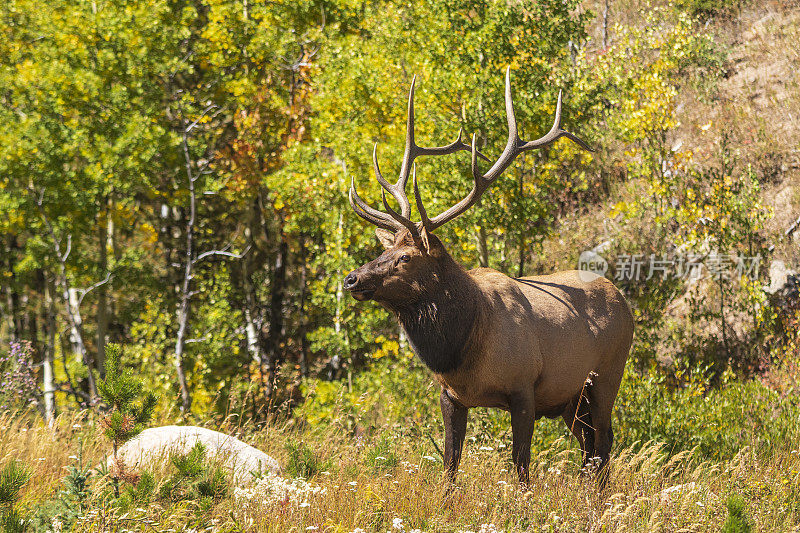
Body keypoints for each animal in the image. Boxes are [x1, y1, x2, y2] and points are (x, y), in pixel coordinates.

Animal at [344, 68, 632, 484]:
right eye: (383, 250)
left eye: (405, 257)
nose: (351, 279)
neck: (462, 350)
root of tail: (623, 299)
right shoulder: (450, 396)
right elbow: (450, 466)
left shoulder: (525, 388)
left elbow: (521, 467)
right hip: (571, 400)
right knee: (589, 448)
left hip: (607, 375)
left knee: (604, 444)